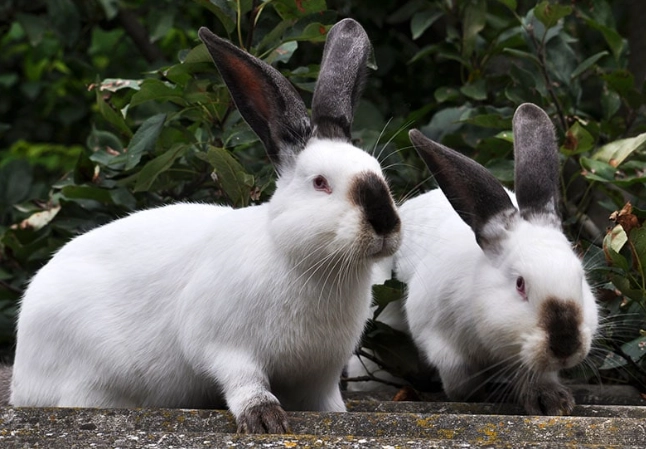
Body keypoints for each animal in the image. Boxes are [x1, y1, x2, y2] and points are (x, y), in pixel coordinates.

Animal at [10, 18, 401, 434]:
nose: (385, 223)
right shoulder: (223, 345)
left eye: (380, 173)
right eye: (321, 183)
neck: (310, 264)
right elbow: (244, 382)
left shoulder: (320, 376)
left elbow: (327, 404)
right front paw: (265, 420)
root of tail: (21, 376)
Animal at [395, 103, 599, 415]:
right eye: (520, 284)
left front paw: (551, 402)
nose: (566, 345)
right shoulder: (440, 340)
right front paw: (475, 395)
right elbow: (459, 379)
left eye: (580, 278)